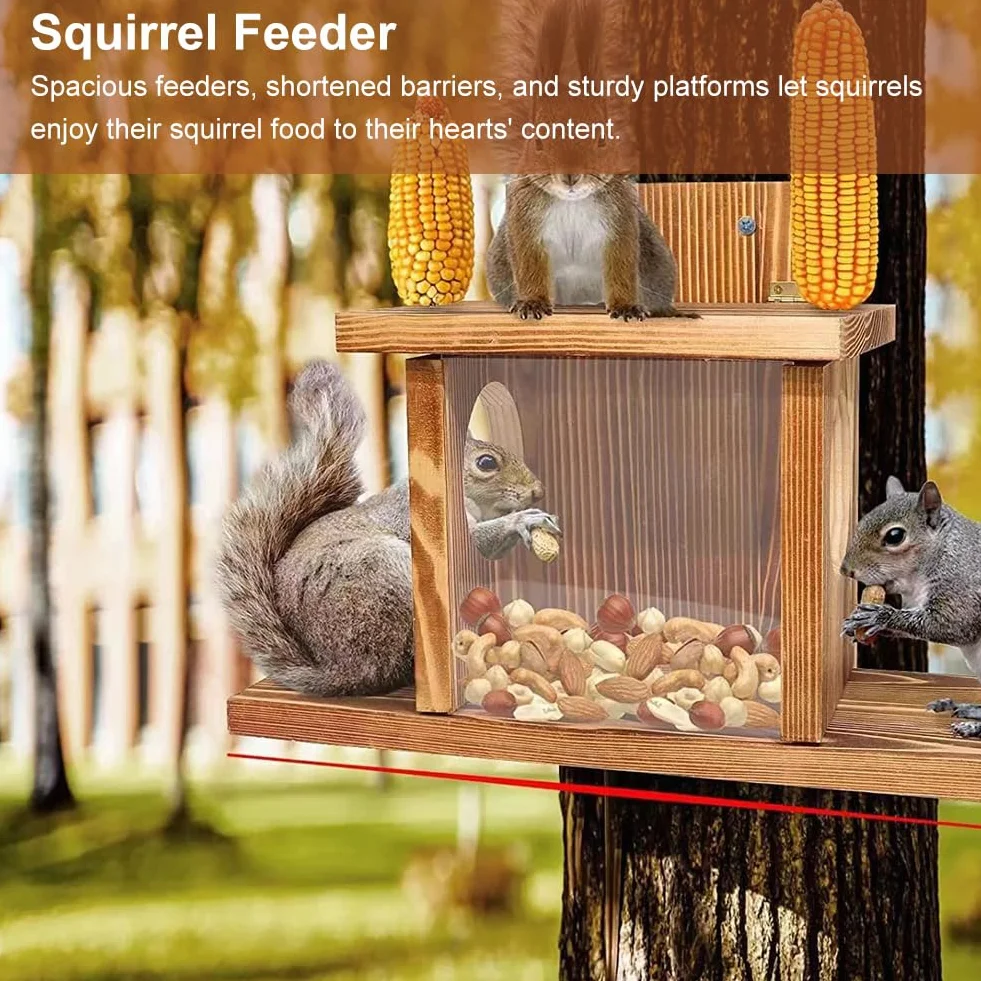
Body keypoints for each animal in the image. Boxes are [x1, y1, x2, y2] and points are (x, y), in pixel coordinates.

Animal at [214, 361, 558, 699]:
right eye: (486, 463)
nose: (538, 490)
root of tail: (342, 674)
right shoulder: (417, 519)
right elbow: (477, 540)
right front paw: (524, 520)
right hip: (382, 571)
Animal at [485, 0, 689, 323]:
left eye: (603, 137)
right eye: (537, 138)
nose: (570, 176)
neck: (572, 202)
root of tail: (580, 297)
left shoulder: (620, 221)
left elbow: (621, 267)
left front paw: (626, 307)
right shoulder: (525, 223)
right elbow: (530, 266)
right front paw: (531, 303)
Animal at [840, 475, 981, 738]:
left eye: (895, 536)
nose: (846, 570)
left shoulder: (962, 588)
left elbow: (951, 624)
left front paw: (880, 617)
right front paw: (858, 622)